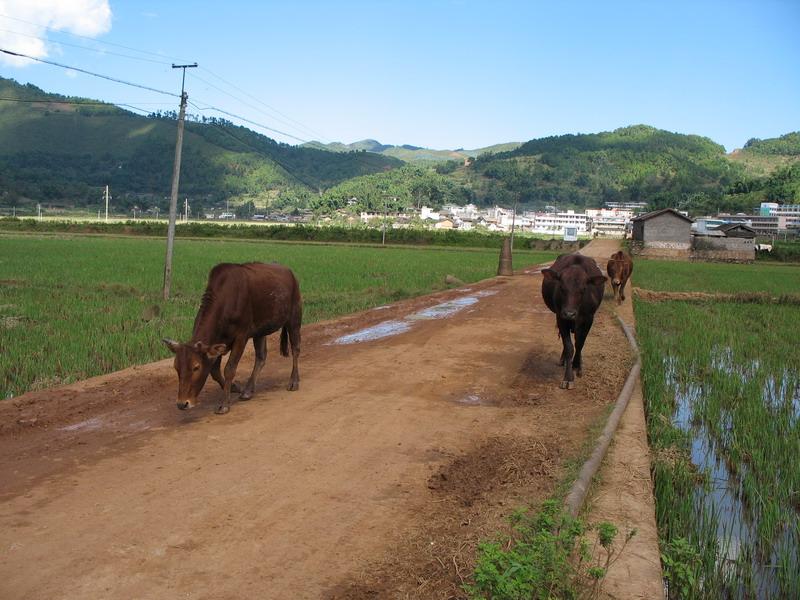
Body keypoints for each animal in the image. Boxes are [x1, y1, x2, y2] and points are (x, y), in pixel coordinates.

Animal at [162, 264, 304, 418]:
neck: (226, 300)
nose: (182, 403)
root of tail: (289, 272)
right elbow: (215, 371)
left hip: (294, 318)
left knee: (295, 349)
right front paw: (235, 387)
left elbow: (229, 369)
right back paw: (248, 390)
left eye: (196, 367)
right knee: (261, 357)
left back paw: (293, 381)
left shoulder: (241, 337)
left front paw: (224, 404)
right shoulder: (217, 342)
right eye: (176, 367)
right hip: (260, 332)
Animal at [544, 253, 608, 390]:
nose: (569, 313)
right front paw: (568, 377)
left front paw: (577, 366)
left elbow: (580, 344)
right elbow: (569, 347)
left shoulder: (589, 319)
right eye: (561, 287)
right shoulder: (561, 318)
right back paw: (563, 359)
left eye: (583, 289)